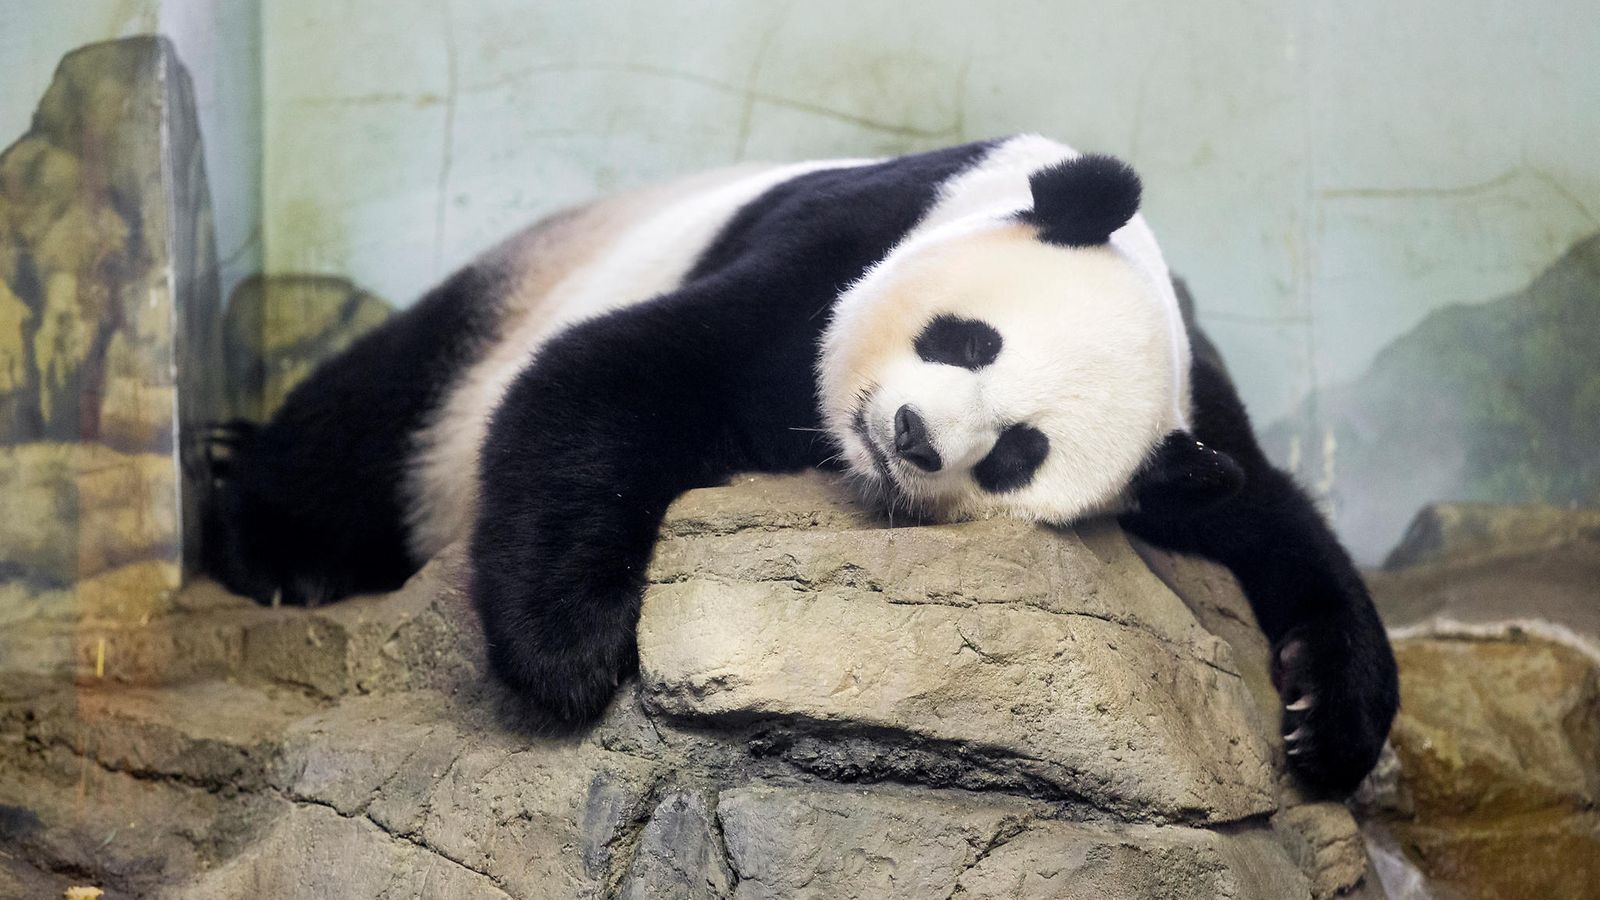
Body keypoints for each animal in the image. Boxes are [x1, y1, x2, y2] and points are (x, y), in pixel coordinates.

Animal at [209, 132, 1401, 791]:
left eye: (1018, 454)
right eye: (968, 341)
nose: (914, 436)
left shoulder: (1193, 416)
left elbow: (1274, 519)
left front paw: (1325, 724)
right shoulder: (845, 239)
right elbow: (613, 374)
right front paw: (570, 652)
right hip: (499, 311)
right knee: (378, 413)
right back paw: (276, 547)